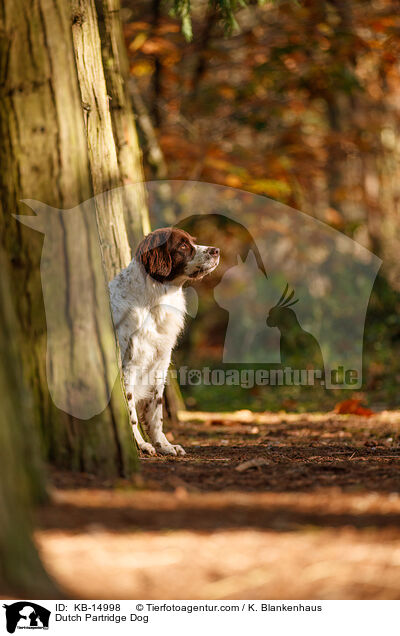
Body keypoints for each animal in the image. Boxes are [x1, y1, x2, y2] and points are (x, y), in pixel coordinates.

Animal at [108, 229, 219, 458]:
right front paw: (141, 444)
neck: (153, 302)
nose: (216, 251)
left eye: (193, 241)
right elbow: (131, 412)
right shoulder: (128, 367)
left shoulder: (159, 365)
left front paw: (164, 445)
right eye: (183, 246)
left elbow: (156, 413)